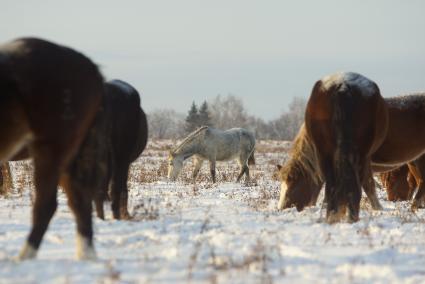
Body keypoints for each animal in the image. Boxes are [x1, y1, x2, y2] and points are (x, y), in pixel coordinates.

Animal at [294, 72, 388, 223]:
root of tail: (343, 85)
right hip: (360, 155)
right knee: (354, 185)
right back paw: (350, 216)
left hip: (324, 154)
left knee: (332, 185)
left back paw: (334, 215)